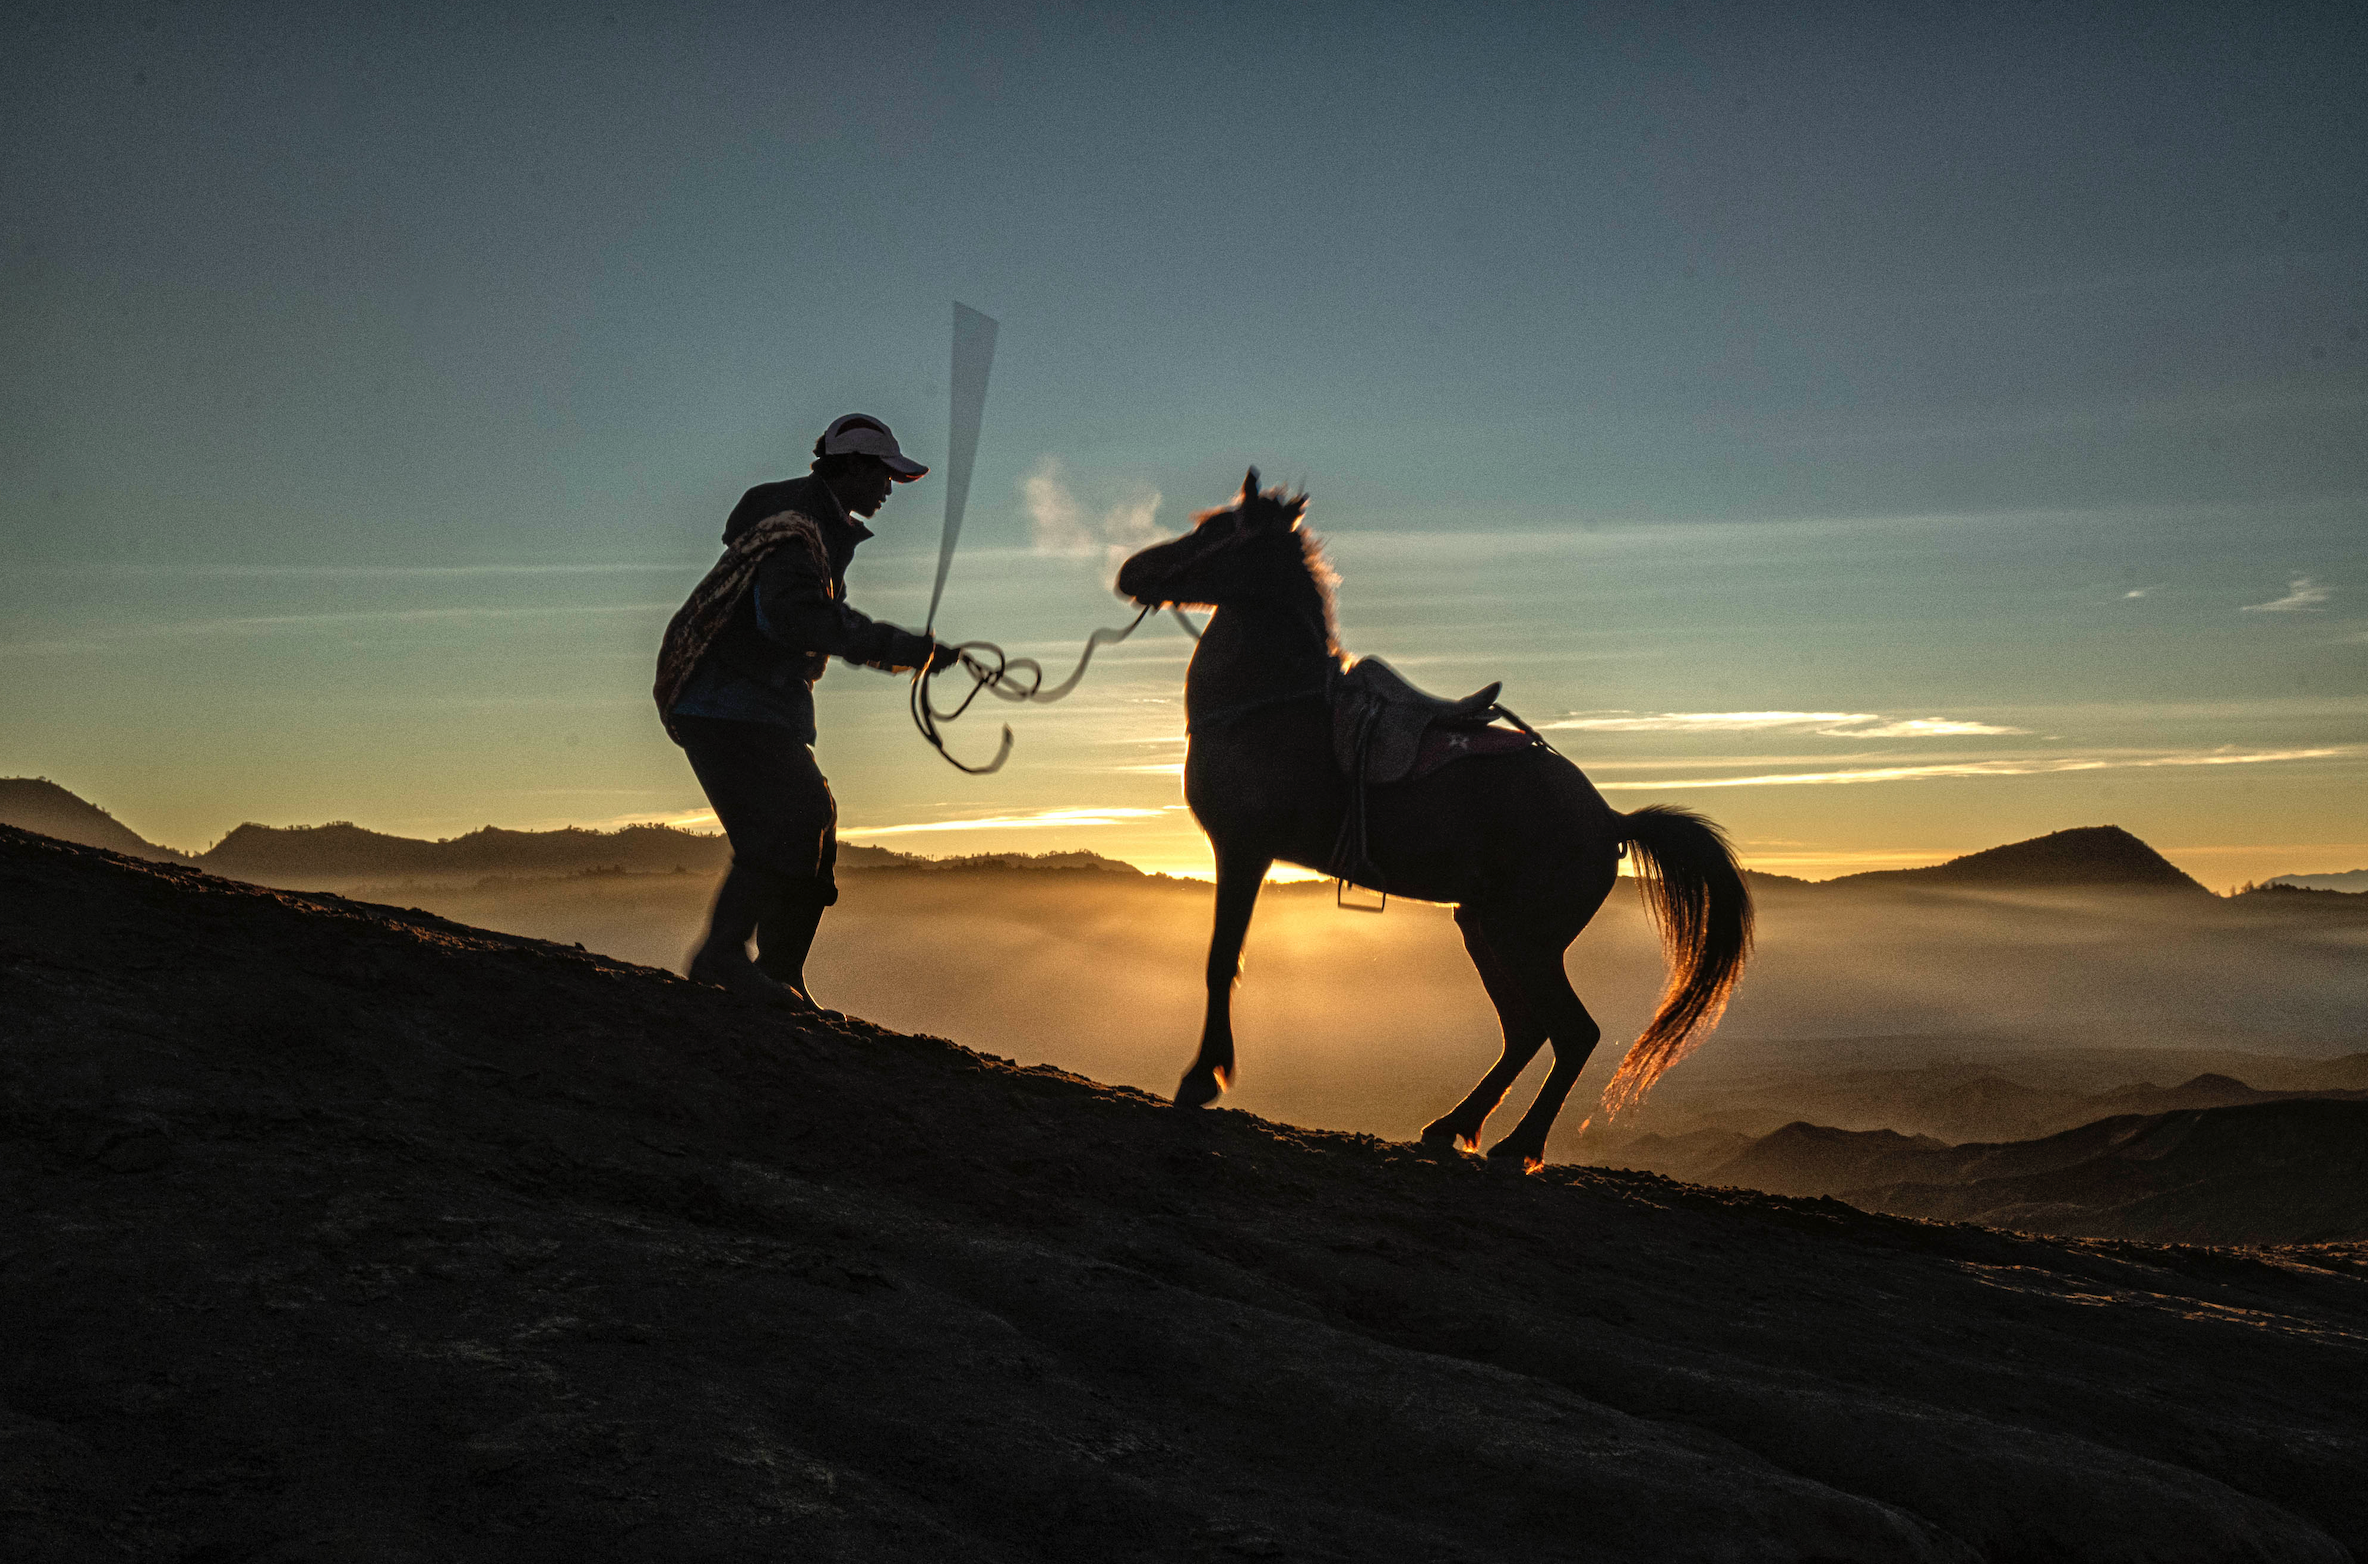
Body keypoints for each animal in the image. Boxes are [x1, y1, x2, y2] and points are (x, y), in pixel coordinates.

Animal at [1112, 471, 1761, 1165]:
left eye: (1217, 531)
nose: (1132, 571)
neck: (1271, 706)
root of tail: (1610, 822)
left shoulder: (1243, 850)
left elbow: (1219, 961)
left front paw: (1201, 1078)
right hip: (1483, 928)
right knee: (1526, 1031)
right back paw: (1454, 1125)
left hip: (1524, 940)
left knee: (1572, 1033)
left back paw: (1518, 1145)